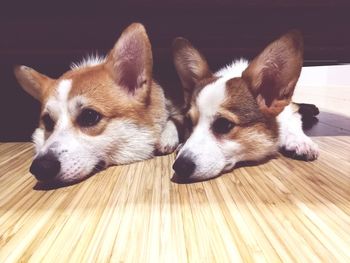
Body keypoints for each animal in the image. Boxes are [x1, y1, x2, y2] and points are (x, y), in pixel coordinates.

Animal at [172, 31, 320, 183]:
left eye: (223, 124)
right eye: (188, 122)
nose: (178, 167)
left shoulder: (289, 111)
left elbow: (294, 121)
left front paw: (300, 141)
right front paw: (182, 144)